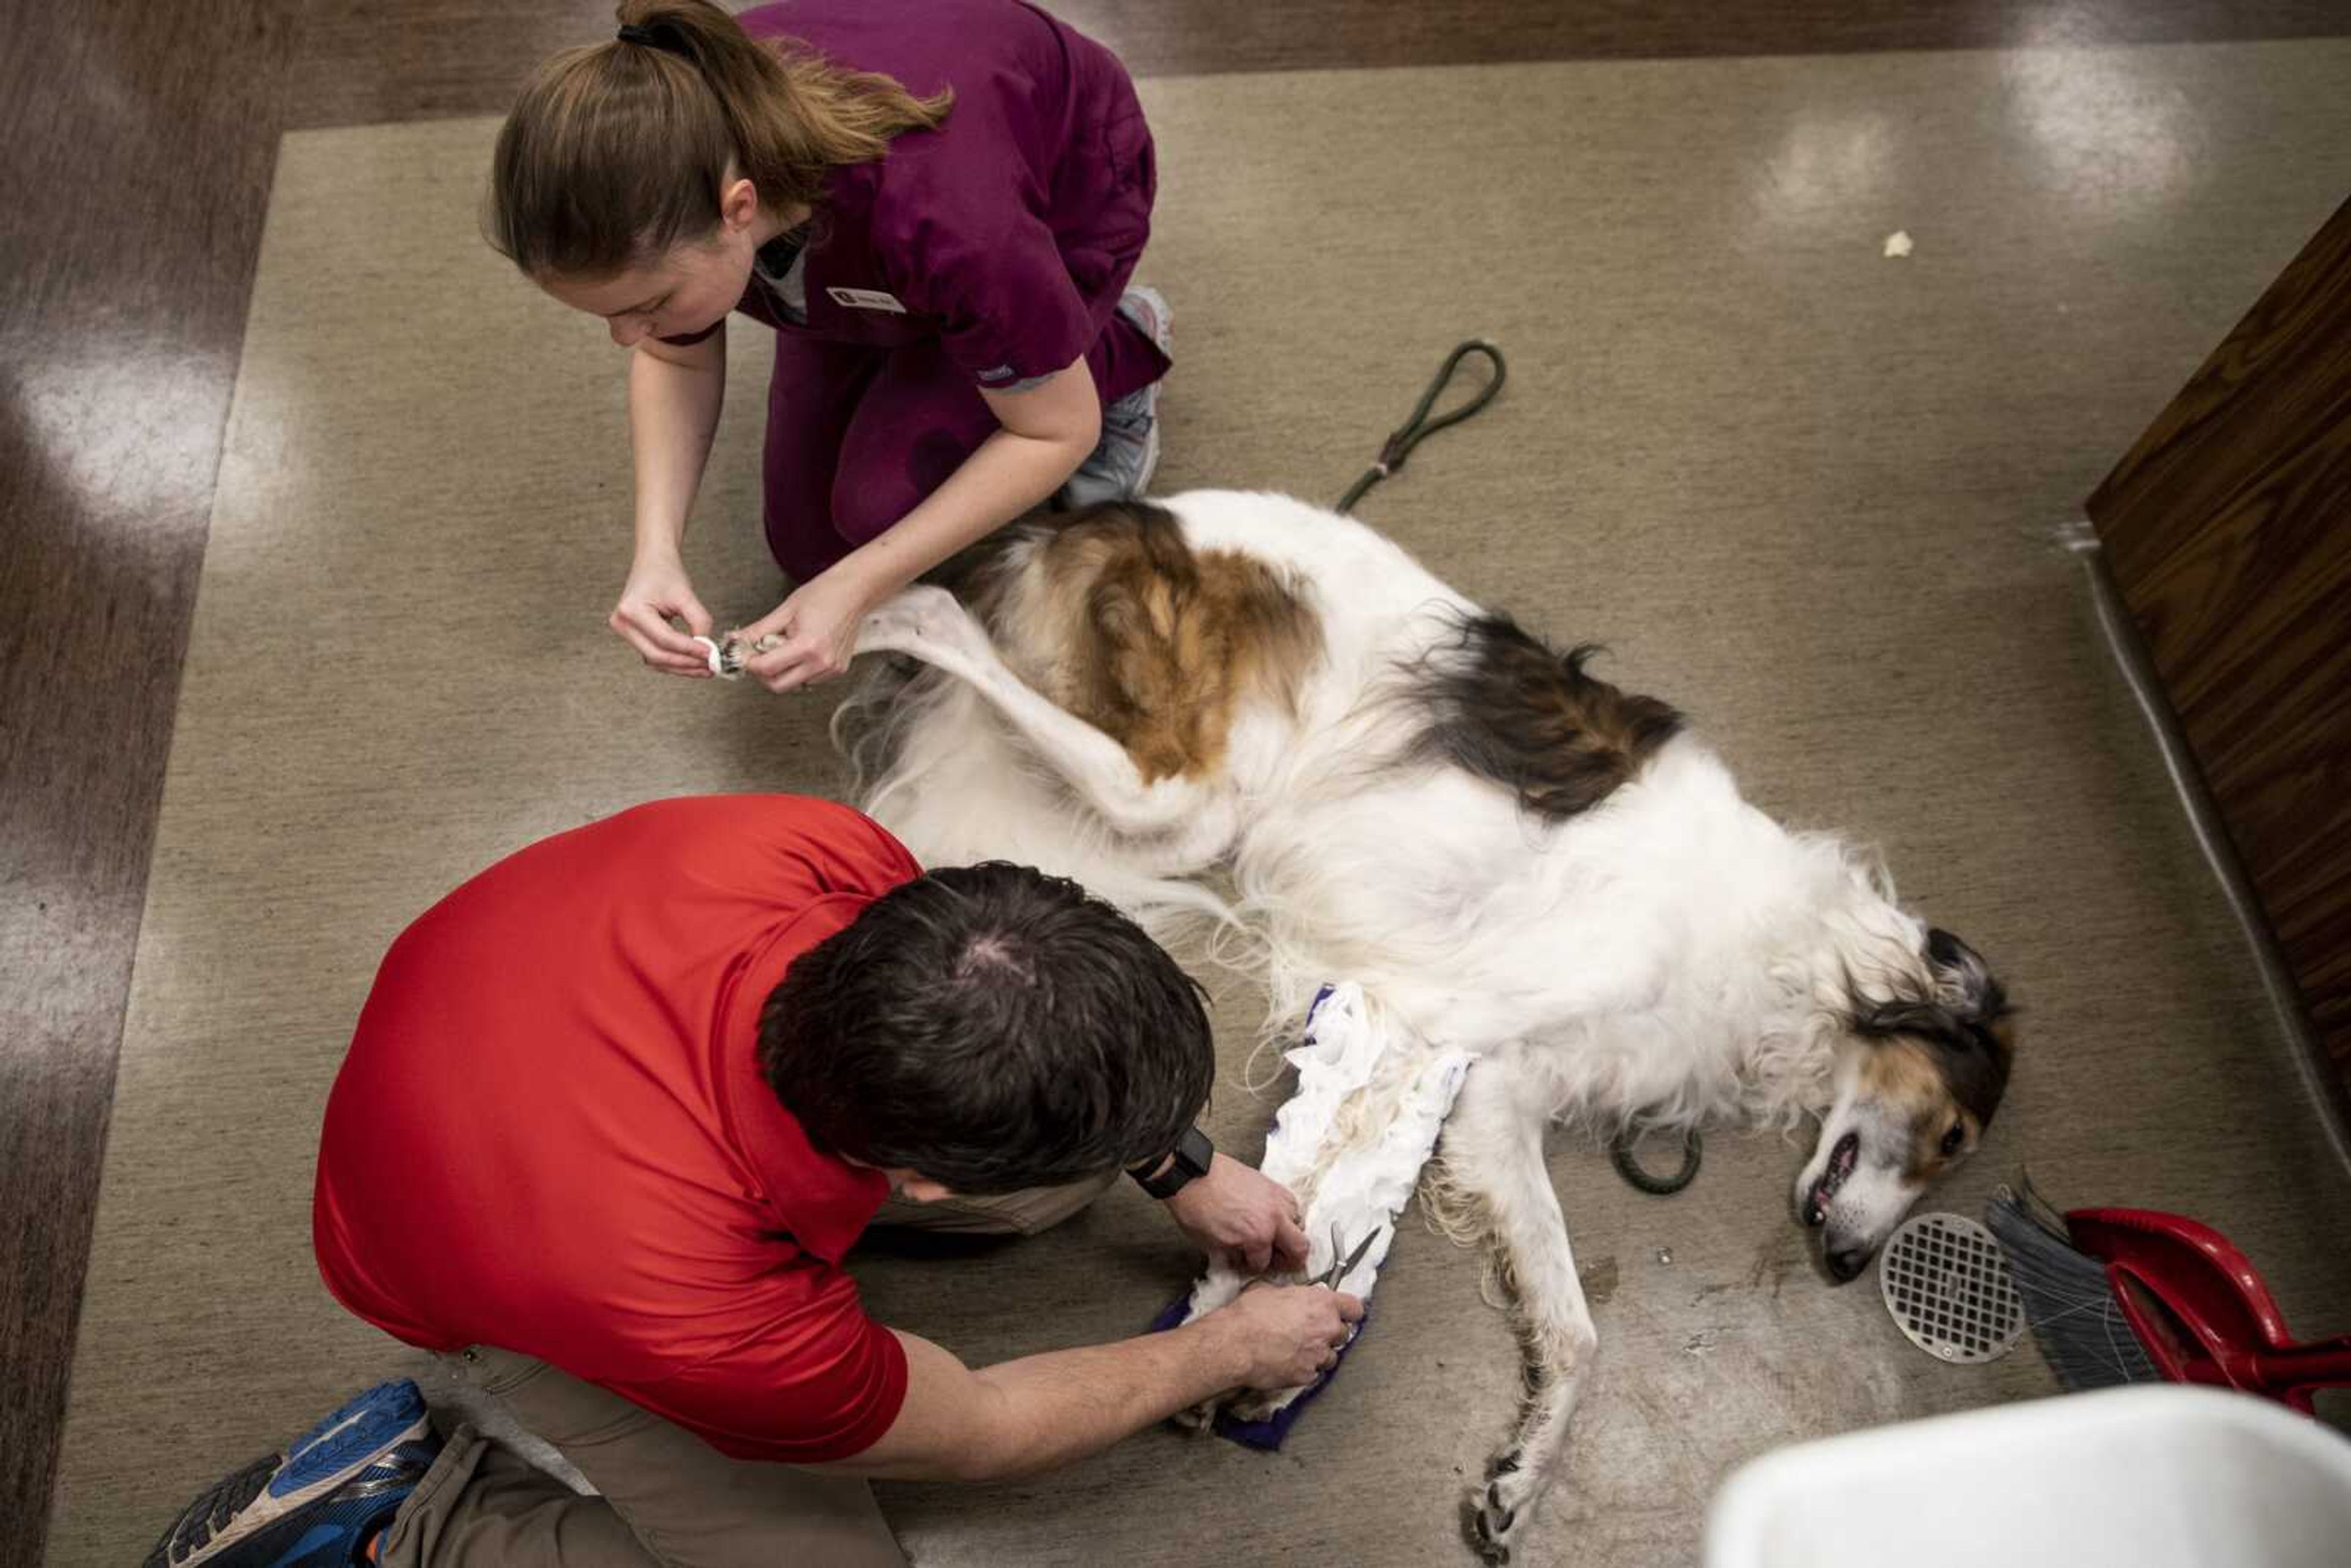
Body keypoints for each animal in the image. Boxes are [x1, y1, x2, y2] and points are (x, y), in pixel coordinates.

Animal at [837, 493, 2012, 1561]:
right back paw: (877, 610)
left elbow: (1575, 1330)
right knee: (993, 661)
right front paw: (1242, 1327)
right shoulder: (1439, 1011)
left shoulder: (1497, 1088)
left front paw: (1521, 1478)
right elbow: (1323, 1177)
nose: (1851, 1266)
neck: (1789, 952)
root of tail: (1124, 513)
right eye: (1954, 1135)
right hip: (1190, 796)